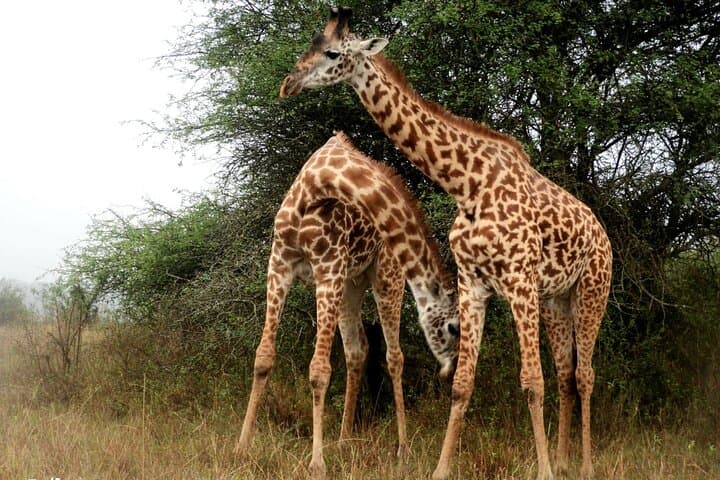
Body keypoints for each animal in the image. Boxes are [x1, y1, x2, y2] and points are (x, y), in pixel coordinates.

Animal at [236, 132, 459, 479]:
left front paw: (316, 463)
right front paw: (241, 448)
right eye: (451, 328)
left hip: (384, 276)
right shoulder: (279, 264)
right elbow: (263, 357)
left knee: (394, 356)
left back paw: (402, 449)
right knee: (357, 350)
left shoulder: (328, 268)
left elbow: (319, 369)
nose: (449, 370)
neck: (314, 187)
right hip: (351, 284)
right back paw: (343, 441)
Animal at [278, 7, 613, 480]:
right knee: (567, 373)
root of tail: (602, 233)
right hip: (556, 300)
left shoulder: (519, 281)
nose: (288, 83)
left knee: (585, 375)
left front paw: (544, 471)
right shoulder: (474, 283)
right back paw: (565, 458)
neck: (468, 185)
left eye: (332, 53)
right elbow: (463, 384)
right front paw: (441, 468)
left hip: (592, 292)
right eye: (308, 46)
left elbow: (531, 382)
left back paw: (582, 465)